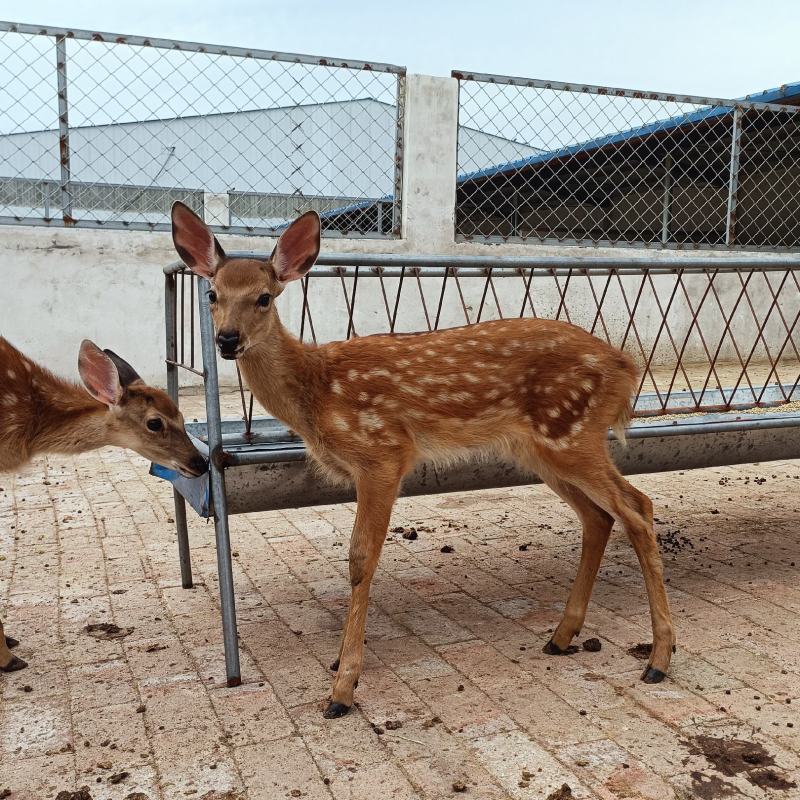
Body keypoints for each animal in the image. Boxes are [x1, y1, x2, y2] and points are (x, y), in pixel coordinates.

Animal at [171, 201, 675, 719]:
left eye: (265, 298)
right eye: (212, 293)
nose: (227, 340)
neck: (318, 391)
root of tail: (626, 366)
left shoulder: (383, 453)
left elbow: (360, 558)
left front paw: (343, 686)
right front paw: (340, 663)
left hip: (572, 434)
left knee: (637, 507)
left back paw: (658, 659)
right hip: (544, 449)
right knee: (599, 517)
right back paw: (562, 635)